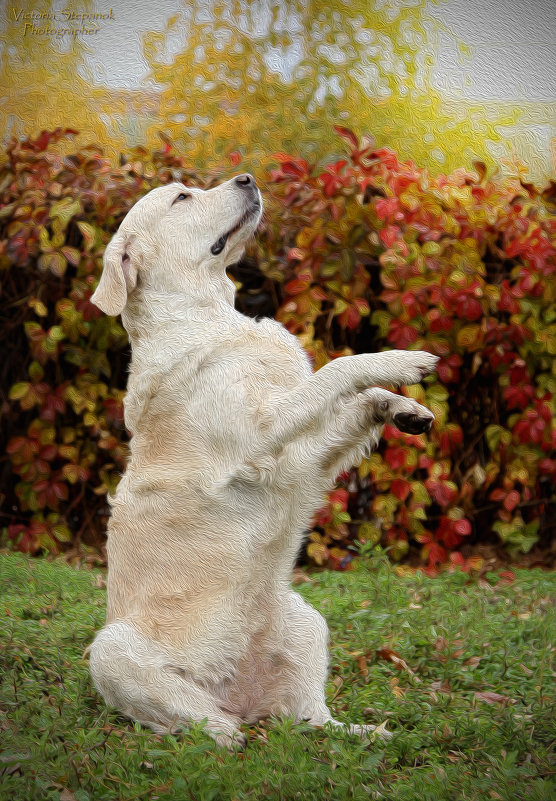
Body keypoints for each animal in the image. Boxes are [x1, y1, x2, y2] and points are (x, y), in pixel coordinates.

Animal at [88, 172, 438, 748]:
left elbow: (349, 400)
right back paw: (223, 734)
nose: (247, 177)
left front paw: (401, 407)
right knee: (194, 720)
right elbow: (338, 369)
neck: (209, 316)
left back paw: (372, 733)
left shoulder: (299, 460)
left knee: (312, 718)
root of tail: (240, 695)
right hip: (112, 650)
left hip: (305, 621)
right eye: (181, 197)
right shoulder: (264, 432)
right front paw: (401, 362)